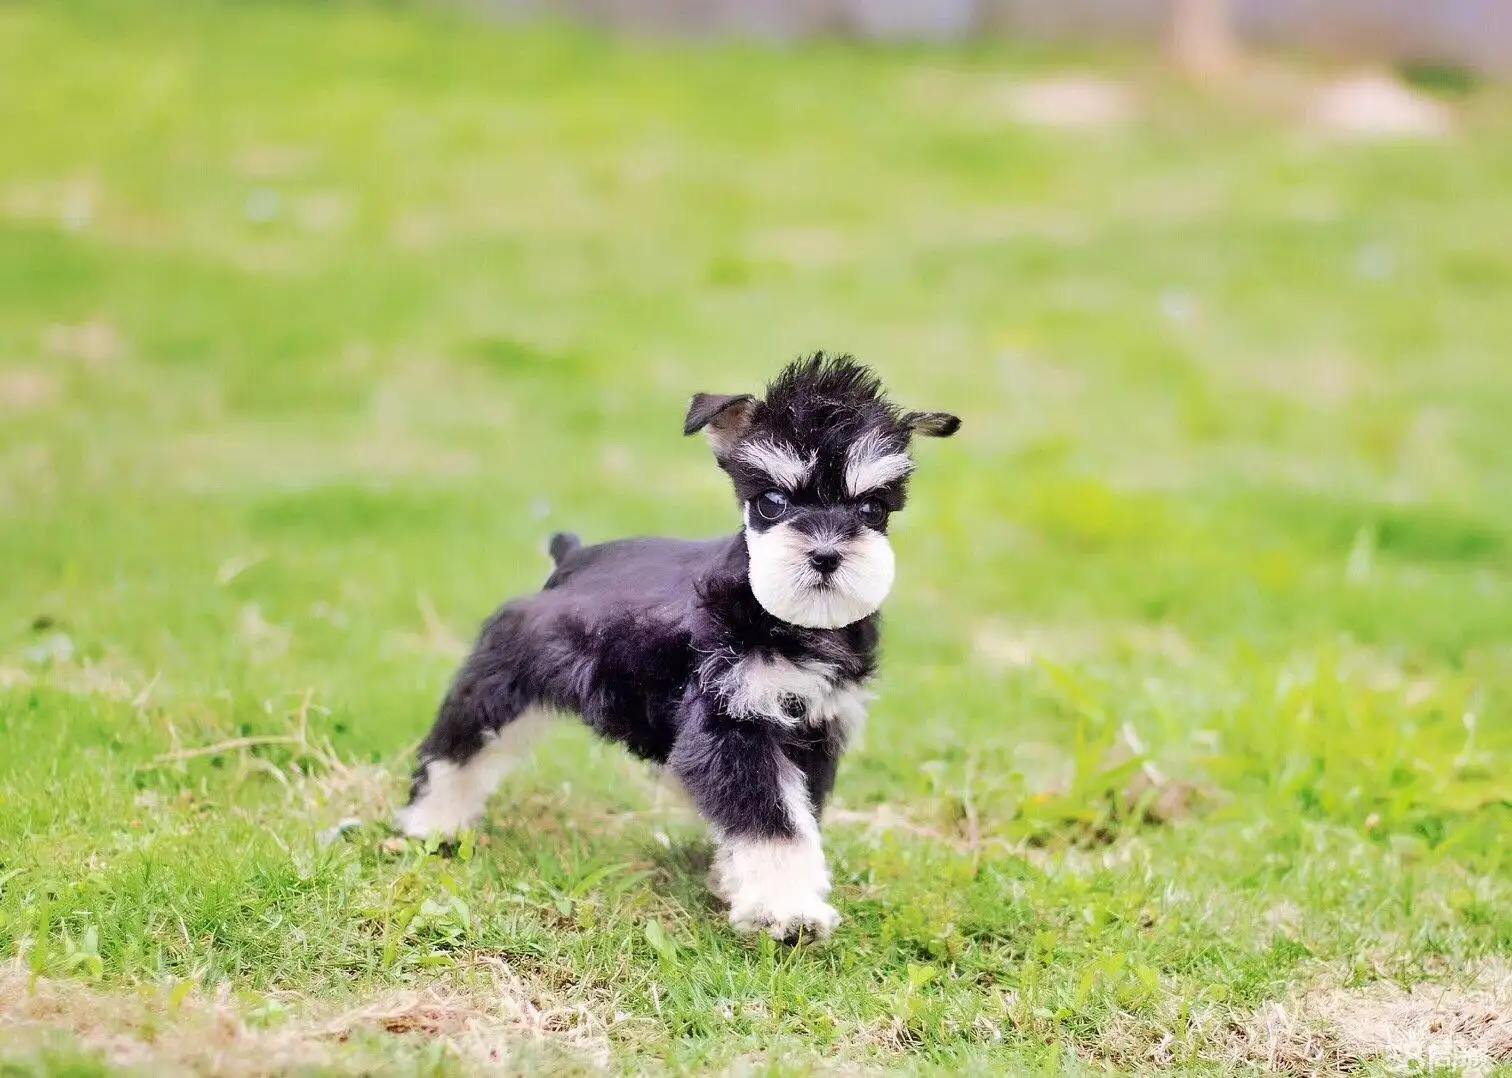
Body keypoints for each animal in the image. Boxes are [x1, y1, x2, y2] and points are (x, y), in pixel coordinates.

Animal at [393, 350, 955, 931]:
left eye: (872, 510)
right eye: (772, 502)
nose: (825, 556)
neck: (789, 621)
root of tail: (569, 559)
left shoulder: (815, 731)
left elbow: (798, 812)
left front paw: (747, 885)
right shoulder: (731, 723)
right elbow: (771, 818)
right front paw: (787, 909)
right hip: (500, 685)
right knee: (455, 753)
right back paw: (431, 824)